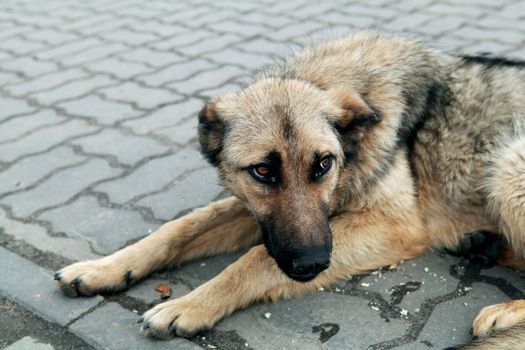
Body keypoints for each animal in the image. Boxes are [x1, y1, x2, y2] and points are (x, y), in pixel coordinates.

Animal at [53, 31, 524, 348]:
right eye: (262, 171)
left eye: (323, 164)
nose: (311, 264)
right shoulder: (259, 214)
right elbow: (179, 228)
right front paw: (106, 267)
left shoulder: (393, 224)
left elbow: (255, 258)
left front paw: (189, 305)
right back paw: (483, 245)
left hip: (508, 165)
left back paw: (504, 309)